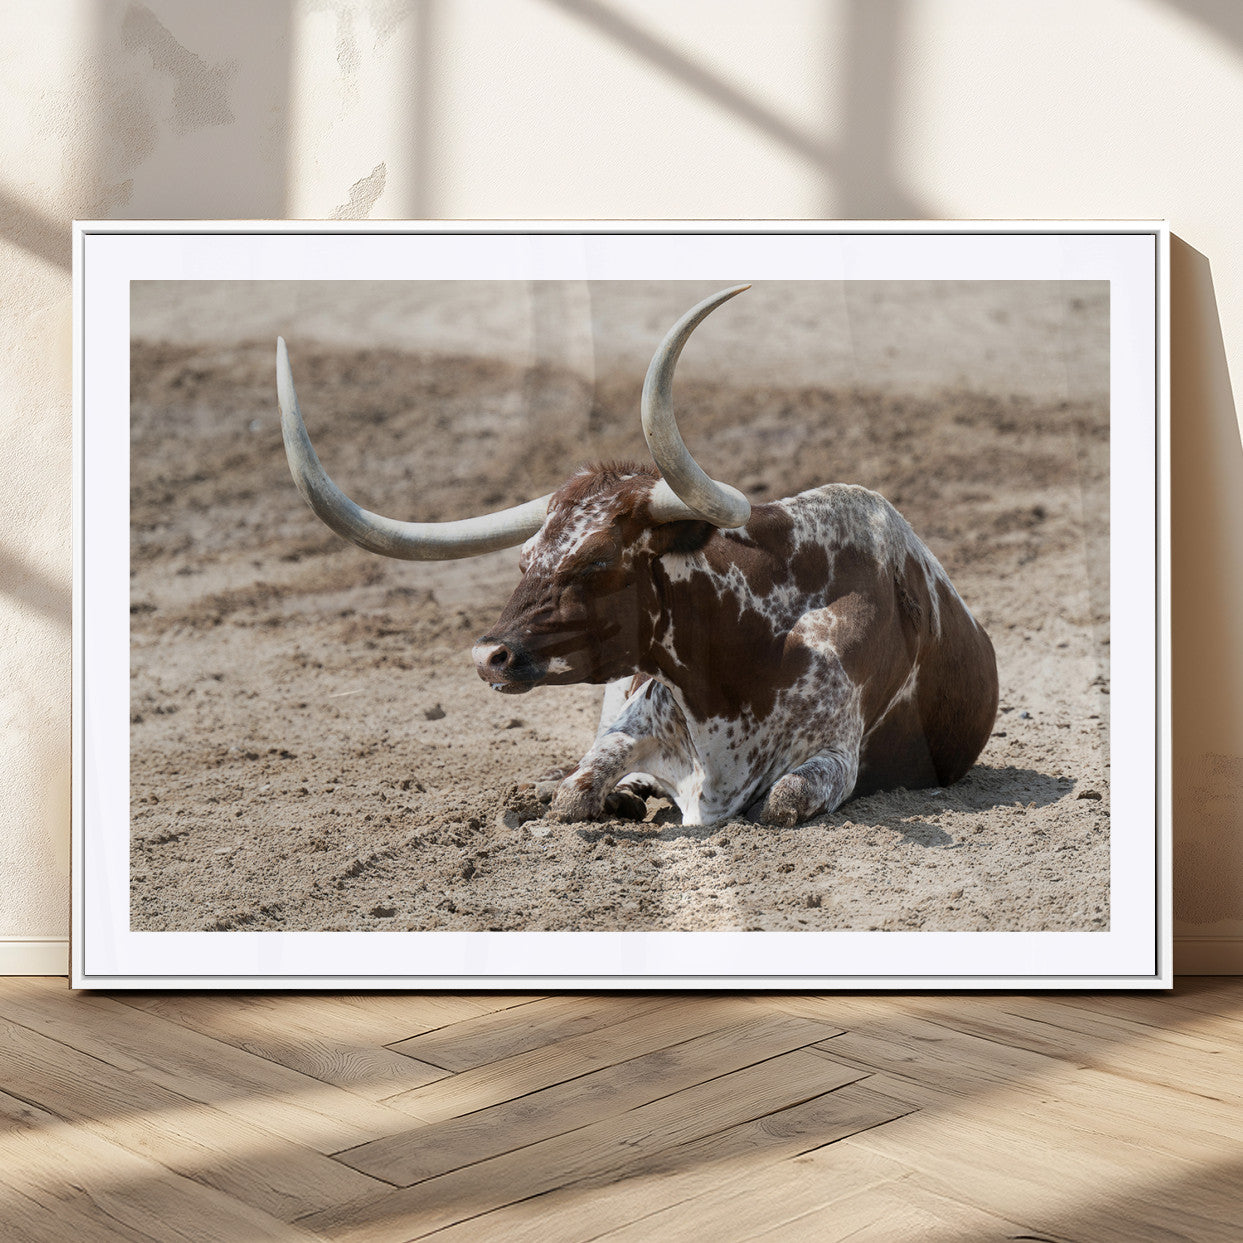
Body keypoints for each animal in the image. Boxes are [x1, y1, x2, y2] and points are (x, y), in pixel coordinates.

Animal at [278, 285, 998, 827]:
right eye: (525, 559)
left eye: (597, 561)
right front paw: (586, 793)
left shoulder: (833, 758)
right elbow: (578, 787)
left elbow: (782, 800)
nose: (488, 655)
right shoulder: (631, 721)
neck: (748, 651)